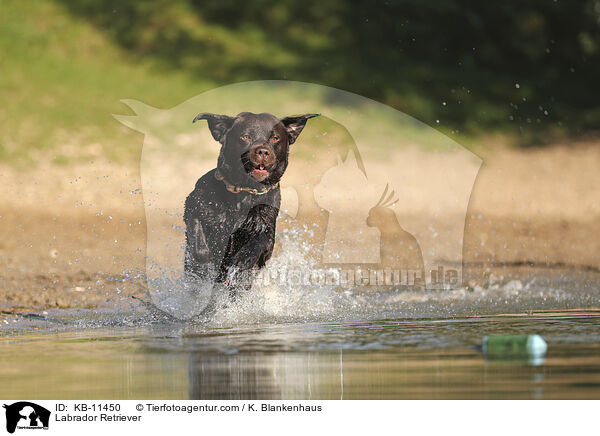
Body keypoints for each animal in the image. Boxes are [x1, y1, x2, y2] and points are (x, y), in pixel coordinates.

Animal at [184, 112, 318, 302]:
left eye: (275, 138)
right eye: (245, 137)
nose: (263, 151)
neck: (244, 193)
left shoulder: (266, 231)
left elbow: (259, 241)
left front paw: (242, 259)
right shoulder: (193, 205)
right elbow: (198, 238)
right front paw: (207, 258)